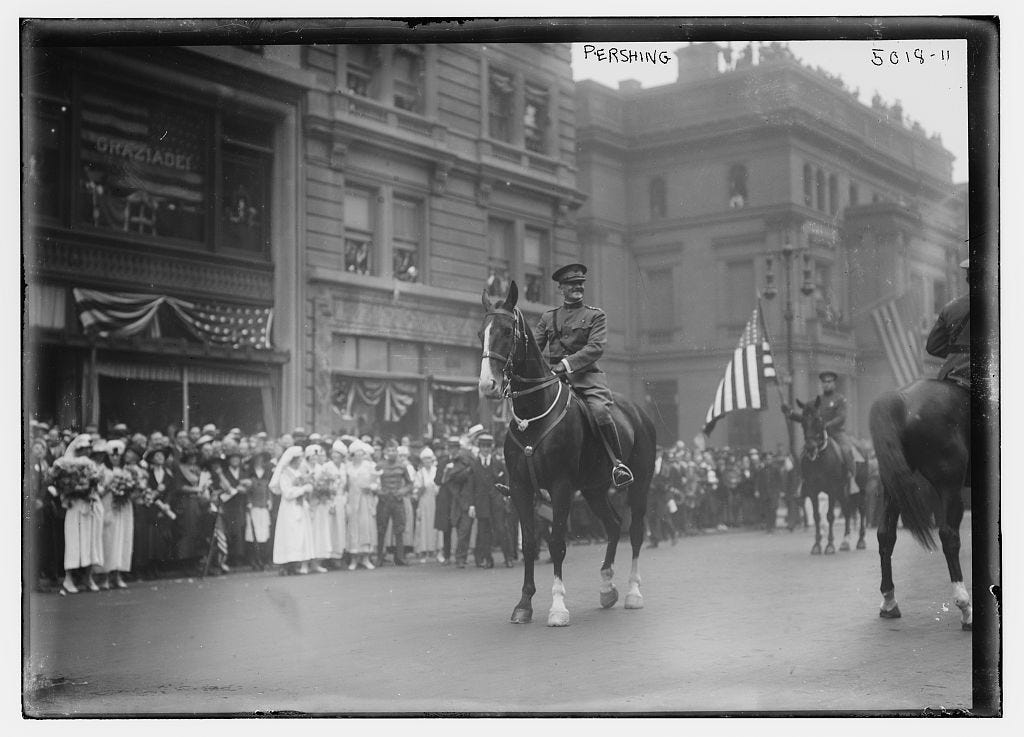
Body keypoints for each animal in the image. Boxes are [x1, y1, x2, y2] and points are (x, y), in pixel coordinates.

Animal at [477, 278, 655, 626]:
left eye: (506, 331)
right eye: (482, 333)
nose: (487, 385)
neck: (532, 416)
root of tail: (639, 412)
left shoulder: (560, 487)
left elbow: (558, 541)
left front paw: (558, 607)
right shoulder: (521, 488)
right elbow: (531, 542)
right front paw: (524, 604)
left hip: (639, 485)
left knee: (634, 531)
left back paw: (632, 592)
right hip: (594, 489)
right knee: (613, 525)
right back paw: (606, 587)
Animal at [790, 397, 856, 552]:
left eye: (818, 420)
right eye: (802, 421)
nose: (810, 448)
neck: (819, 459)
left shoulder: (832, 489)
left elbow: (830, 516)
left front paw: (830, 545)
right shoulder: (812, 490)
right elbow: (816, 516)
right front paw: (817, 544)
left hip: (842, 489)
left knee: (847, 509)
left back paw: (846, 540)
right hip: (838, 491)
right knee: (846, 509)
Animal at [868, 380, 970, 626]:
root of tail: (900, 399)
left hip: (895, 485)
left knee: (885, 534)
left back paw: (889, 602)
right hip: (949, 485)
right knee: (949, 535)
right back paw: (965, 606)